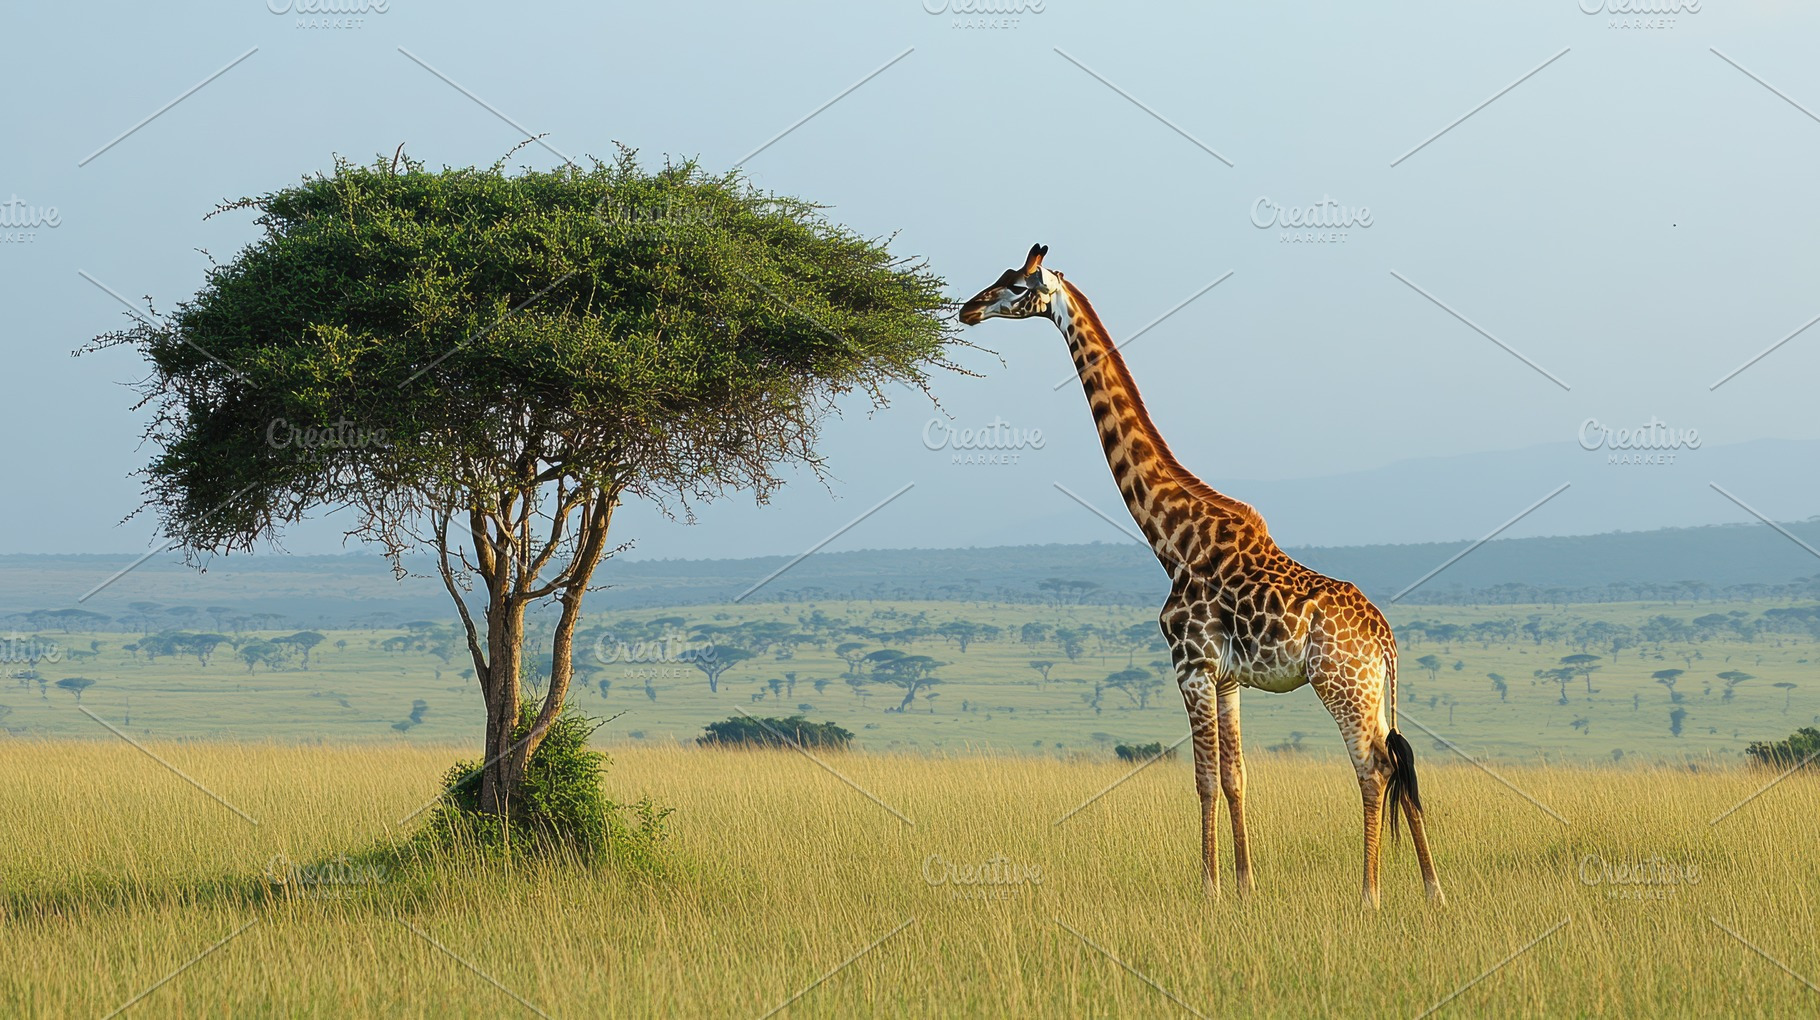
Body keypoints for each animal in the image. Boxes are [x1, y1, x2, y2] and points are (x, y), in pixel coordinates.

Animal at [959, 244, 1443, 908]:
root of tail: (1387, 641)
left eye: (1015, 285)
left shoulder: (1189, 664)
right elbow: (1237, 776)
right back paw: (1432, 891)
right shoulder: (1229, 677)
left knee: (1374, 769)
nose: (966, 309)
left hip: (1340, 684)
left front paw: (1211, 888)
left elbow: (1205, 778)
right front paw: (1244, 885)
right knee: (1403, 764)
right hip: (1373, 692)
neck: (1172, 538)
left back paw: (1369, 895)